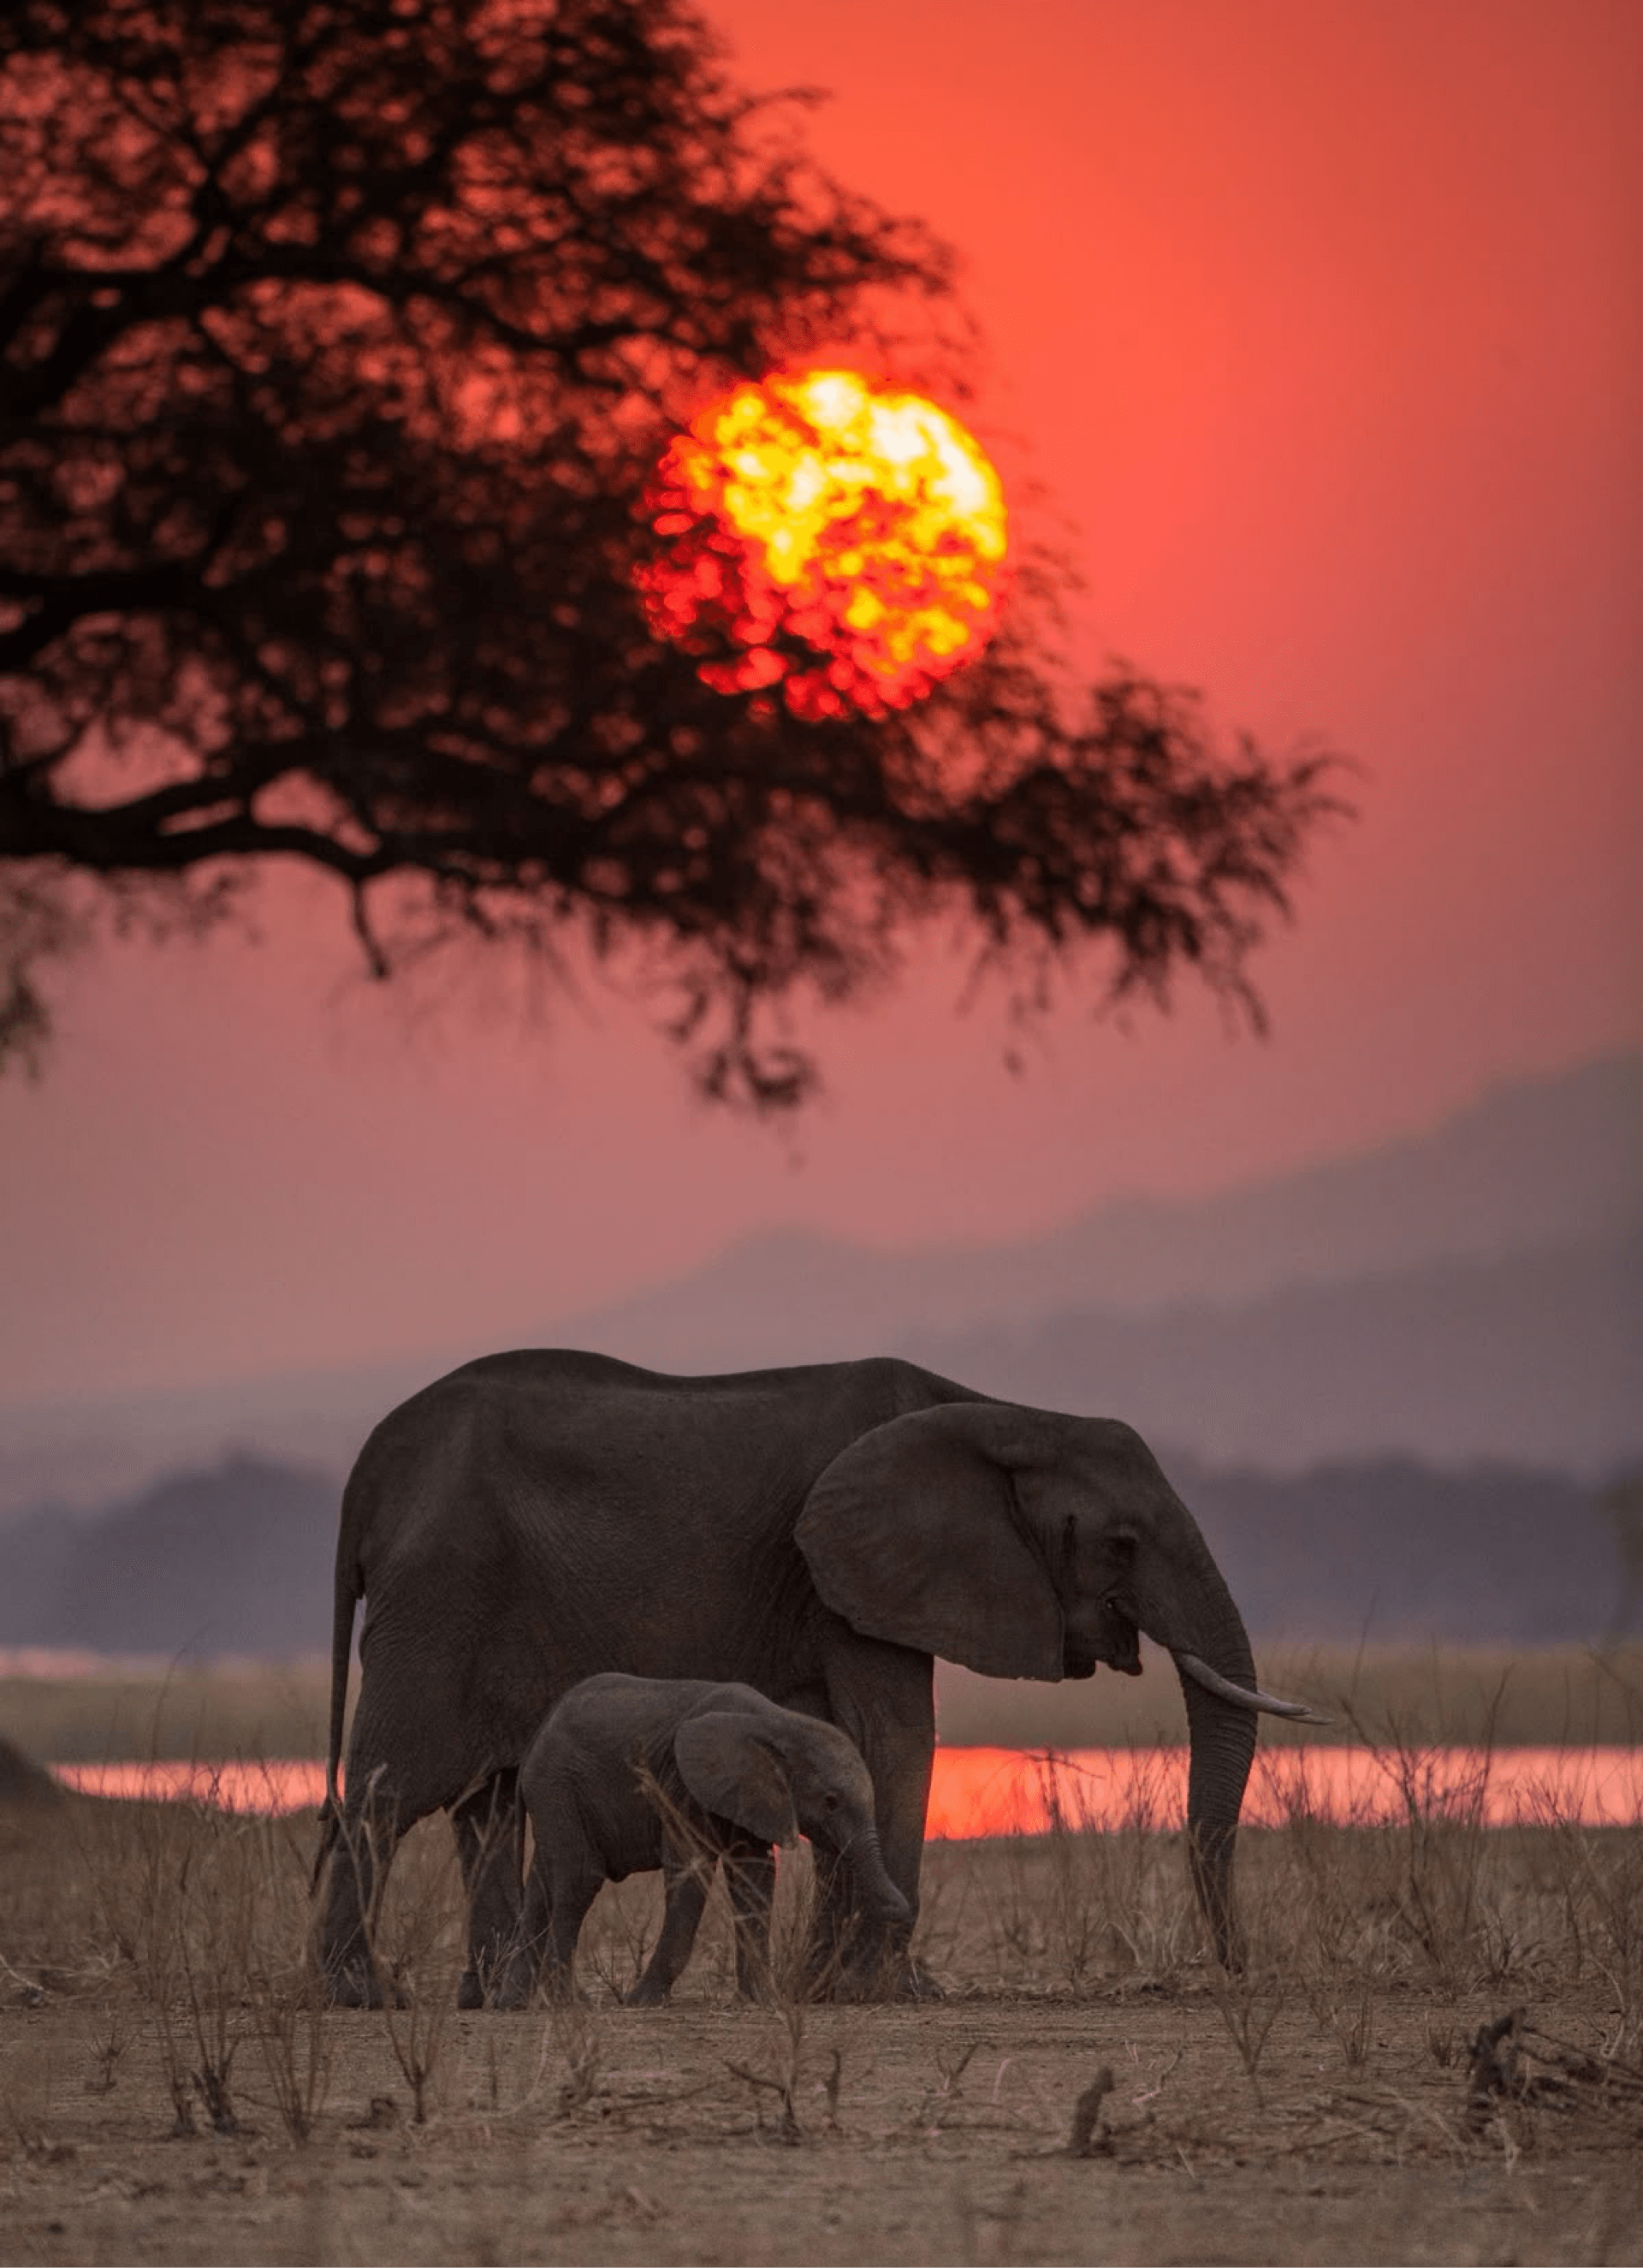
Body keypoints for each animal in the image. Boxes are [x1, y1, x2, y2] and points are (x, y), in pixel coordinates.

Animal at [498, 1672, 910, 2007]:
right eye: (830, 1802)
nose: (901, 1911)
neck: (778, 1723)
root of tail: (536, 1739)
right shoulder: (682, 1785)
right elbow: (690, 1870)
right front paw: (641, 2003)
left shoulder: (751, 1794)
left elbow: (755, 1877)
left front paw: (761, 2001)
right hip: (558, 1785)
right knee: (579, 1878)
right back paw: (572, 2003)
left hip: (556, 1793)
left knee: (541, 1885)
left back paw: (515, 2003)